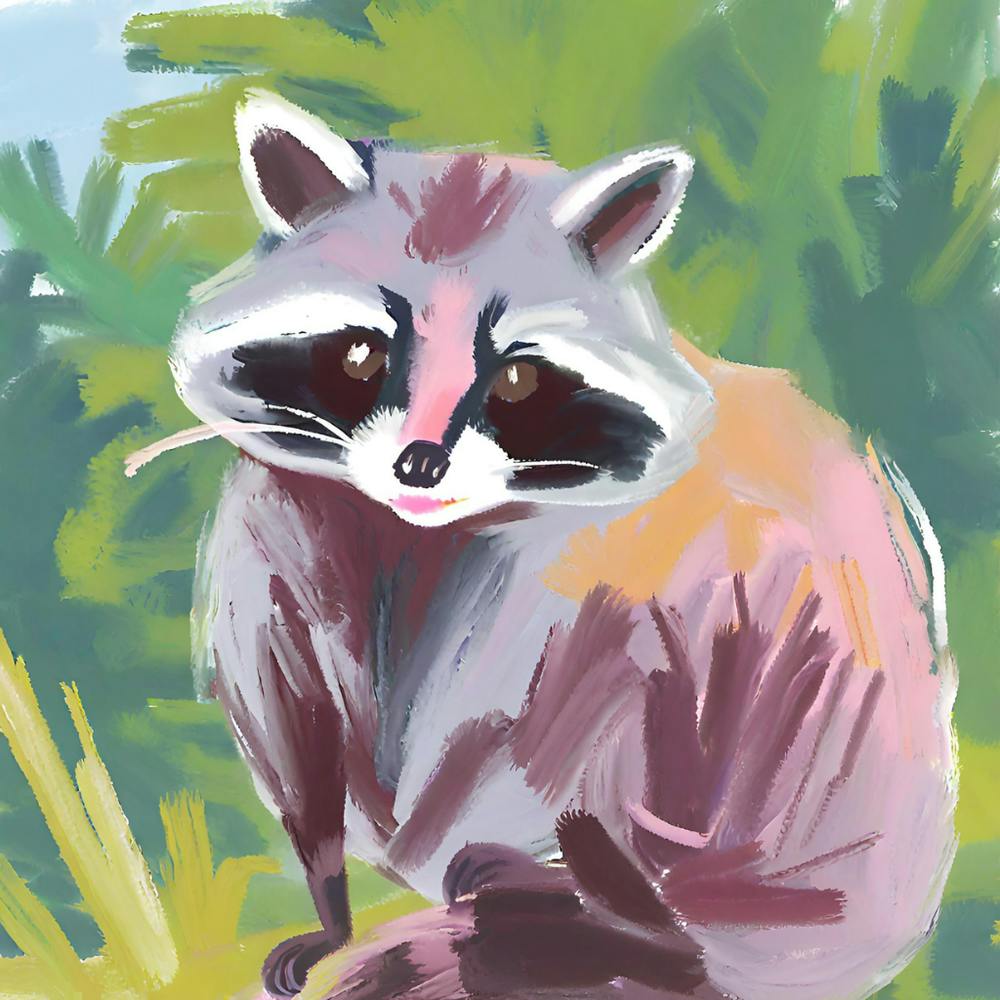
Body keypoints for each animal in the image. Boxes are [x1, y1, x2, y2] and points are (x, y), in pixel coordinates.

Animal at [165, 90, 956, 1000]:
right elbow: (292, 709)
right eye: (364, 353)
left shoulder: (619, 553)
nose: (419, 463)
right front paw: (329, 894)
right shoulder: (267, 521)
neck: (421, 526)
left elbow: (564, 702)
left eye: (516, 378)